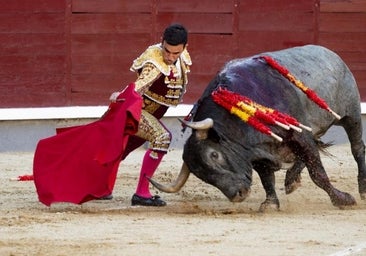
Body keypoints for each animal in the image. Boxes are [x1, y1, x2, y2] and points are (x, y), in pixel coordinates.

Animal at [149, 45, 366, 211]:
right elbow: (267, 177)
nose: (237, 194)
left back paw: (362, 189)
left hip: (351, 114)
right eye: (200, 174)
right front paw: (270, 203)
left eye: (214, 155)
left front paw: (343, 199)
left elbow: (318, 173)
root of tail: (332, 54)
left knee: (357, 148)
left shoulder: (299, 133)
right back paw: (291, 180)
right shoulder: (259, 152)